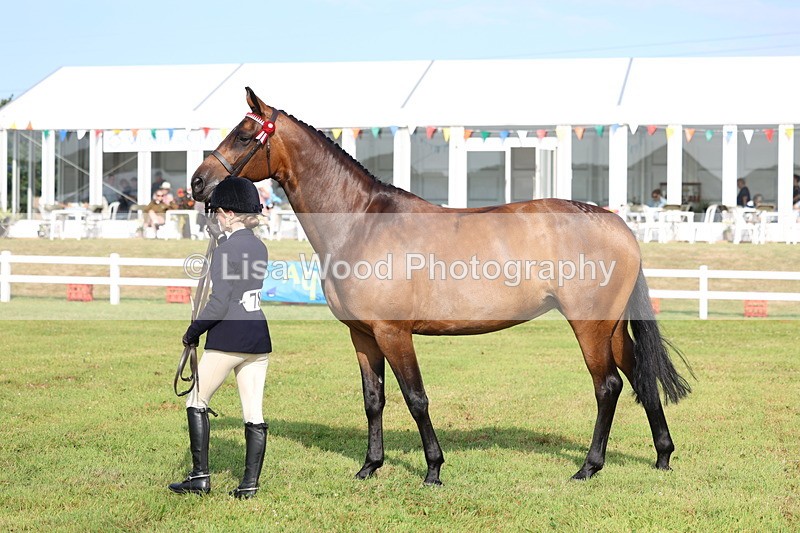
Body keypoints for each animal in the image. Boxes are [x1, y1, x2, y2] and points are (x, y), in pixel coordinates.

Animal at [190, 87, 691, 486]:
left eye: (243, 135)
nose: (198, 182)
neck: (361, 222)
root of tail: (615, 222)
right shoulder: (362, 335)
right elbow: (374, 400)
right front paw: (370, 466)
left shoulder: (394, 333)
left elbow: (416, 398)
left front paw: (432, 469)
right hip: (612, 327)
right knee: (640, 377)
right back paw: (663, 457)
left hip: (589, 326)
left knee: (608, 386)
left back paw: (589, 466)